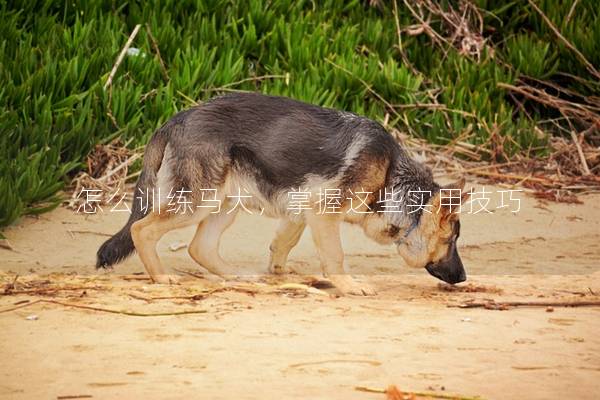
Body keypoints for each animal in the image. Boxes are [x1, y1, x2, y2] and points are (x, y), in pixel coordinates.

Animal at [97, 92, 468, 296]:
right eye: (451, 240)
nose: (464, 278)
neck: (392, 176)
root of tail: (176, 119)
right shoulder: (323, 213)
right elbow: (335, 256)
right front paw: (348, 285)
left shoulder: (301, 210)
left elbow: (283, 245)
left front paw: (281, 275)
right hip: (198, 202)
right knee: (141, 229)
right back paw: (162, 277)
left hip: (226, 203)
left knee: (200, 247)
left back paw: (240, 277)